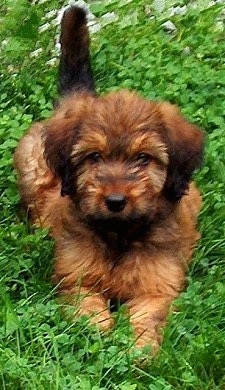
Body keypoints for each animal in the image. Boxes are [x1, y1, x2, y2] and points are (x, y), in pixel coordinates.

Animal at [14, 6, 204, 352]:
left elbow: (145, 316)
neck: (119, 235)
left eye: (143, 158)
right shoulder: (76, 277)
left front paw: (138, 349)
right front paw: (96, 337)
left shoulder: (158, 286)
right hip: (32, 164)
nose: (115, 201)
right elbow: (87, 308)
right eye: (94, 157)